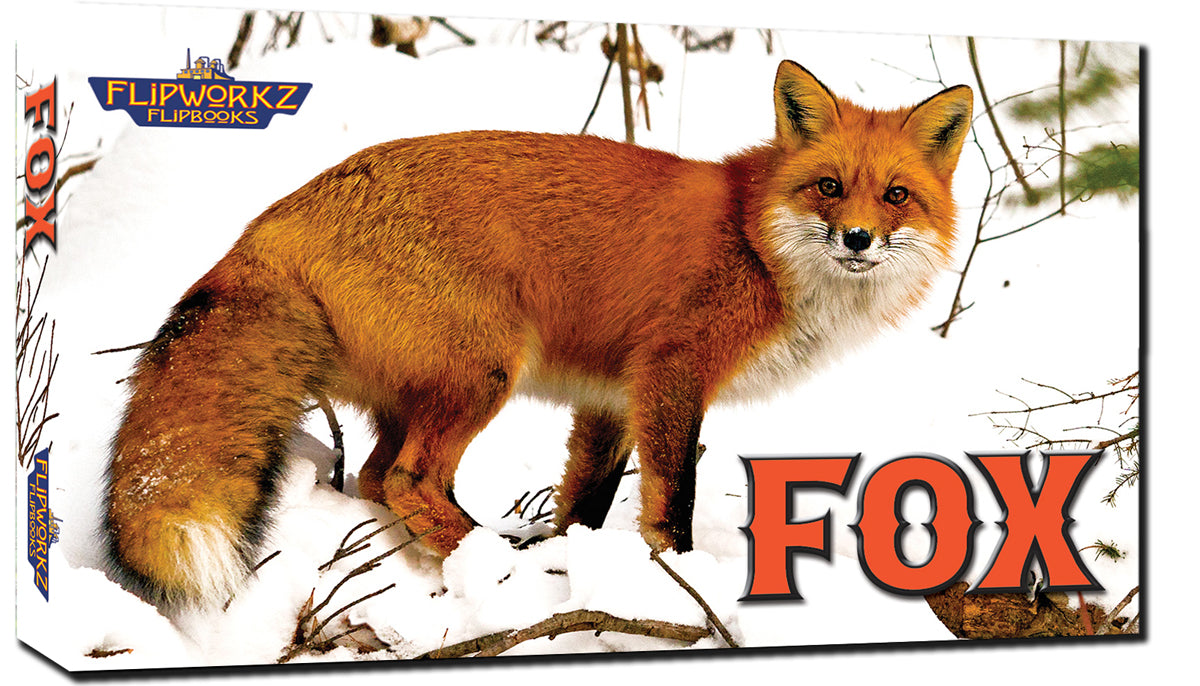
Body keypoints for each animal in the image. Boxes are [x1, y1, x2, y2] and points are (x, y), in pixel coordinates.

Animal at [104, 60, 973, 611]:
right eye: (829, 186)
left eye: (896, 196)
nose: (857, 237)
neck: (757, 244)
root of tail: (277, 218)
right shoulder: (672, 373)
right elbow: (674, 502)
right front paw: (677, 583)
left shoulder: (612, 398)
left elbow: (586, 502)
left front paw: (580, 563)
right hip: (486, 372)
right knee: (410, 480)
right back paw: (494, 565)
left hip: (421, 394)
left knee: (378, 478)